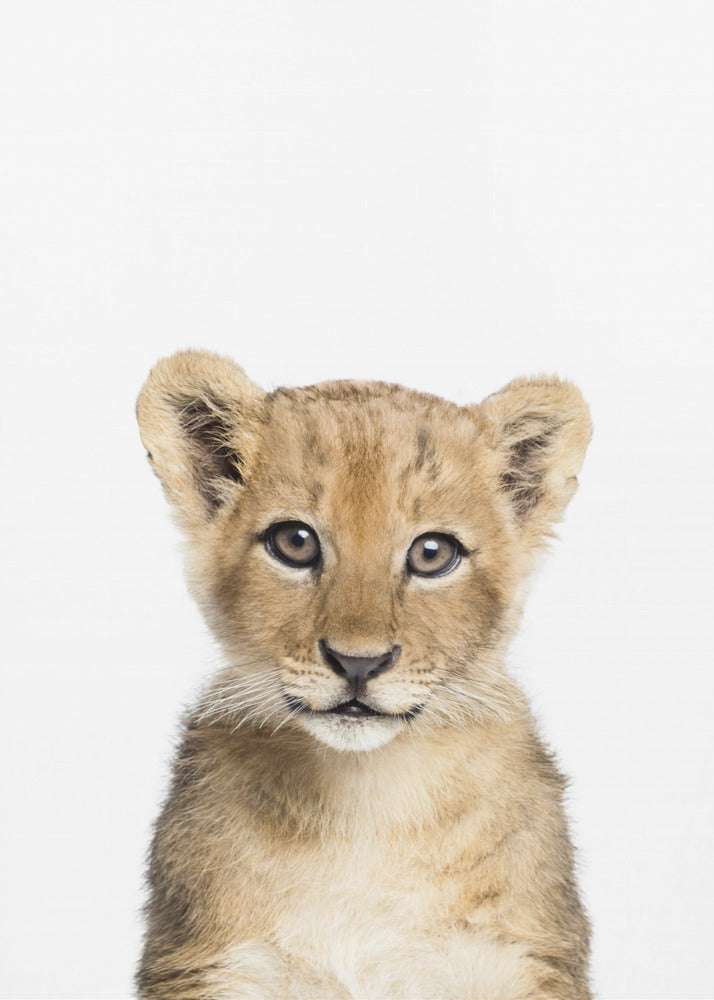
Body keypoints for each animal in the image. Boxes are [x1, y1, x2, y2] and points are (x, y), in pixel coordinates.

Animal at [135, 349, 592, 999]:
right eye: (294, 542)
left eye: (433, 553)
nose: (358, 662)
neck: (366, 803)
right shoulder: (211, 963)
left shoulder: (524, 959)